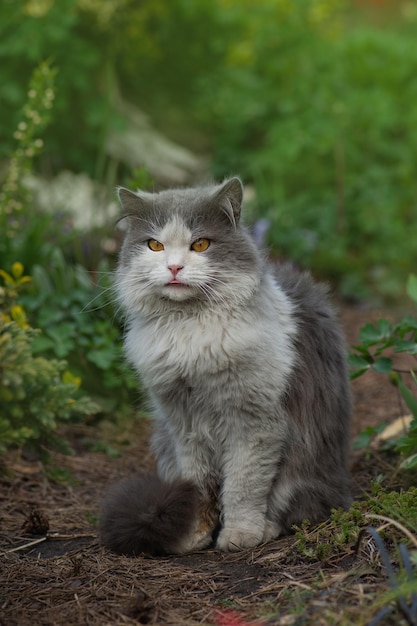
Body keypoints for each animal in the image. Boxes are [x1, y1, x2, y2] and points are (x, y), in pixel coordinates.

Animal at [100, 177, 352, 556]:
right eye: (155, 245)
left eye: (201, 244)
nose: (174, 268)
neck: (190, 331)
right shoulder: (183, 425)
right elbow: (199, 489)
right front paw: (193, 537)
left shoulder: (255, 424)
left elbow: (243, 488)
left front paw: (238, 535)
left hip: (304, 465)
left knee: (294, 507)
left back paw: (266, 529)